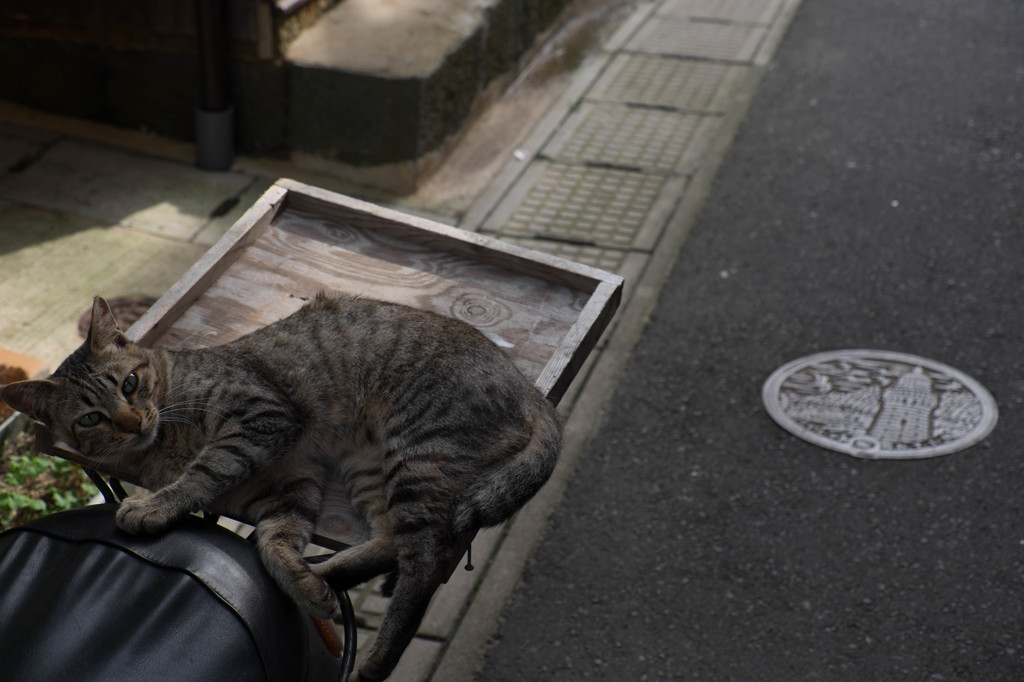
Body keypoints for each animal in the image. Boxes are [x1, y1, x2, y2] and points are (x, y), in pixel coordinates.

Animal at [0, 292, 561, 679]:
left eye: (131, 384)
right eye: (91, 418)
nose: (133, 421)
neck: (161, 446)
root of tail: (528, 389)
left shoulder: (261, 420)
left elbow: (204, 473)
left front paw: (154, 506)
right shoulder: (289, 487)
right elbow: (272, 544)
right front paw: (304, 585)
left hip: (416, 453)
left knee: (424, 561)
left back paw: (376, 657)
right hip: (372, 468)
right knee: (389, 542)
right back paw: (327, 576)